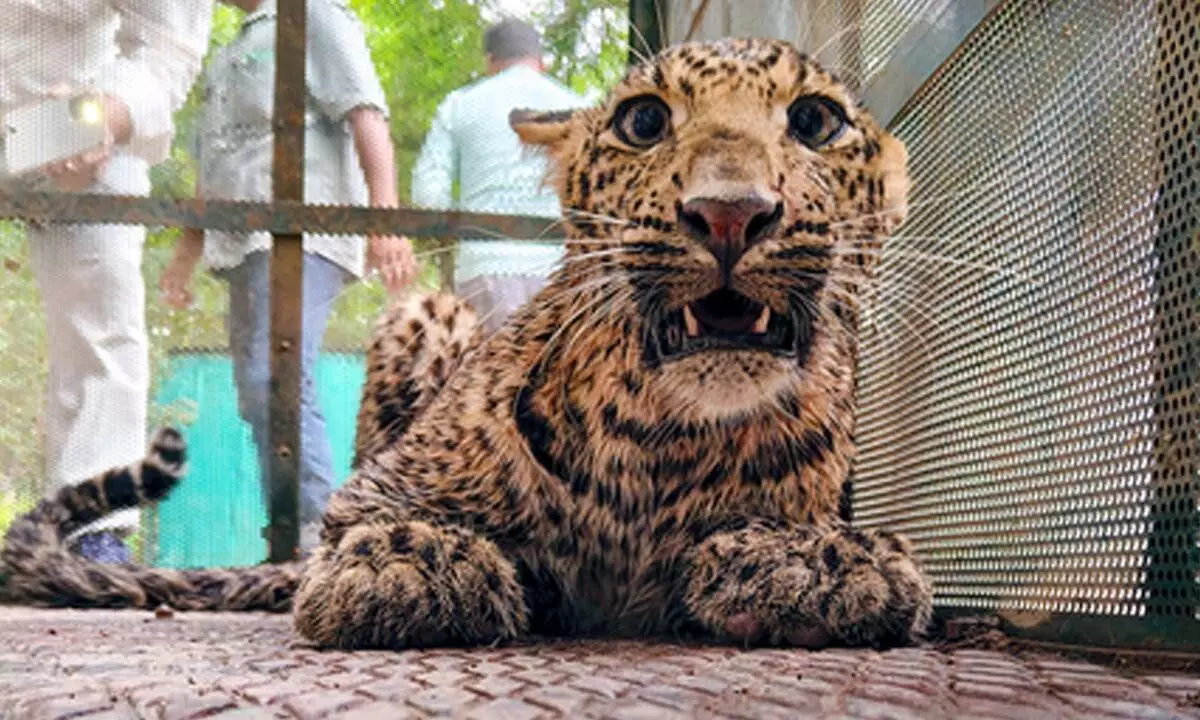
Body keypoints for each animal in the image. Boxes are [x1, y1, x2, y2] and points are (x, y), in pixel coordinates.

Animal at [1, 36, 932, 651]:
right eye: (643, 121)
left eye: (814, 121)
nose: (730, 212)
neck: (667, 437)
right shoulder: (369, 493)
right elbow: (376, 525)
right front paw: (415, 560)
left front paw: (829, 560)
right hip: (430, 311)